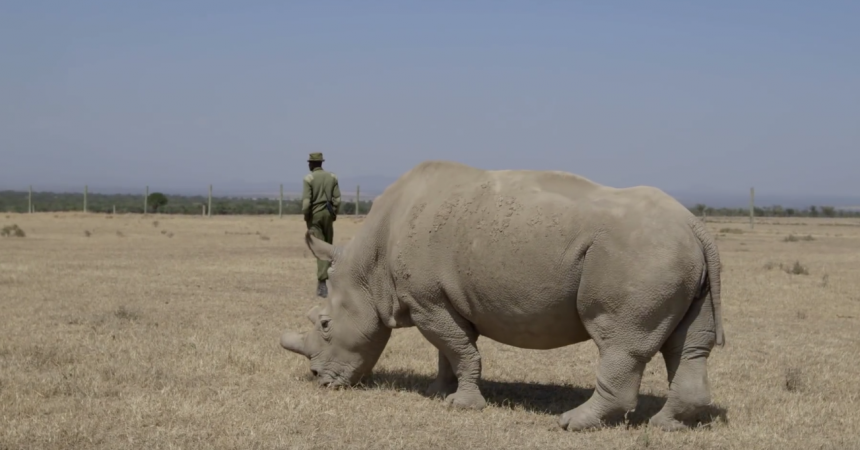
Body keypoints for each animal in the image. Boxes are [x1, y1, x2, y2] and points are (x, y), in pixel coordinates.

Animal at [278, 160, 724, 430]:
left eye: (324, 324)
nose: (318, 379)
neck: (367, 270)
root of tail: (695, 226)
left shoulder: (427, 301)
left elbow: (460, 350)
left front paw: (462, 406)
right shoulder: (441, 301)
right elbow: (449, 350)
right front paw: (440, 393)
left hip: (639, 256)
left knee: (620, 343)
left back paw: (573, 423)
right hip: (671, 254)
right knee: (687, 346)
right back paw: (667, 426)